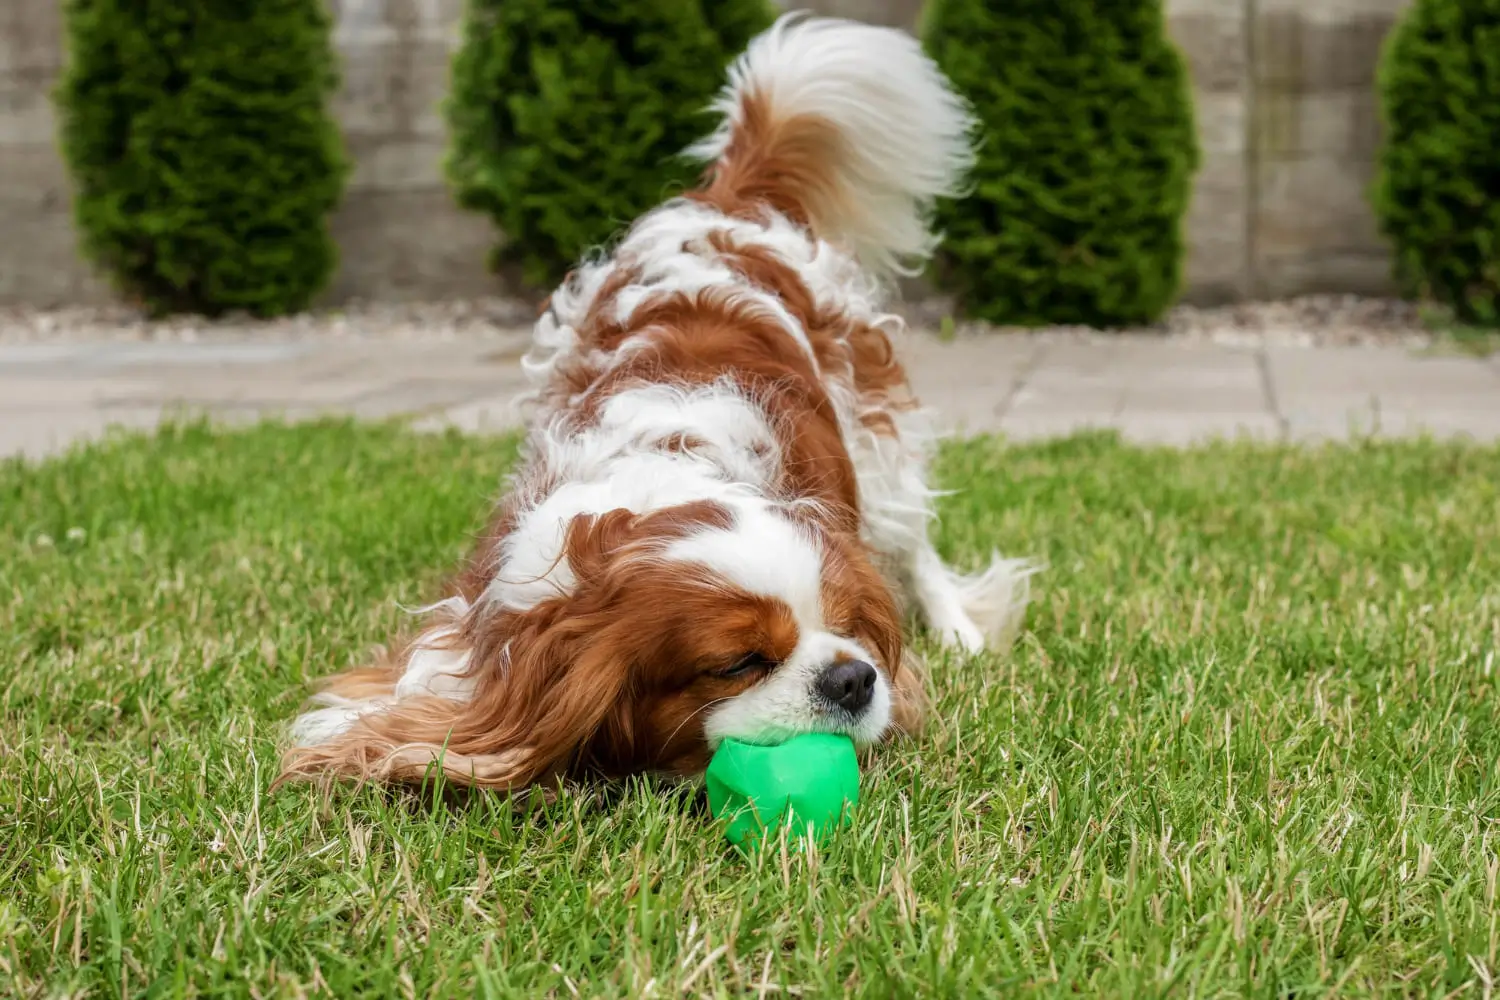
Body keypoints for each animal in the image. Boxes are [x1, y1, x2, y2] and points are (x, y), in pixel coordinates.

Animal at [279, 7, 1032, 791]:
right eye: (739, 664)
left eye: (847, 627)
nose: (854, 676)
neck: (660, 479)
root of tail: (725, 202)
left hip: (875, 438)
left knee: (914, 542)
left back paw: (958, 631)